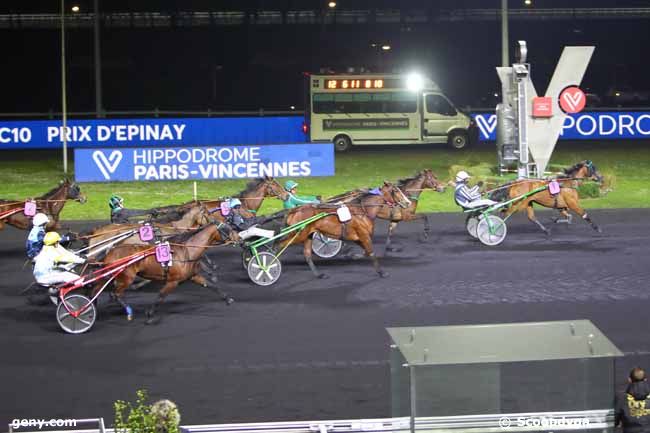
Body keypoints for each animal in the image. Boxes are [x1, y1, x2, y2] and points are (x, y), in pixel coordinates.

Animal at [95, 221, 237, 322]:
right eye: (228, 229)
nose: (239, 237)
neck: (185, 252)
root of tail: (110, 251)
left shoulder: (193, 276)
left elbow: (211, 285)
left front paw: (228, 299)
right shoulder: (172, 281)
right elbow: (161, 296)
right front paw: (150, 314)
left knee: (113, 293)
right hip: (126, 278)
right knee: (117, 294)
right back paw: (128, 311)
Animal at [274, 181, 410, 278]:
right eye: (395, 190)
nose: (408, 202)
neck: (362, 210)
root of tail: (293, 210)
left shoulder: (357, 237)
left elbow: (366, 252)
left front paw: (352, 255)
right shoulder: (363, 235)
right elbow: (371, 252)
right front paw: (381, 272)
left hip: (308, 234)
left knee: (307, 254)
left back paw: (319, 275)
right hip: (298, 234)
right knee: (279, 245)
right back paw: (272, 264)